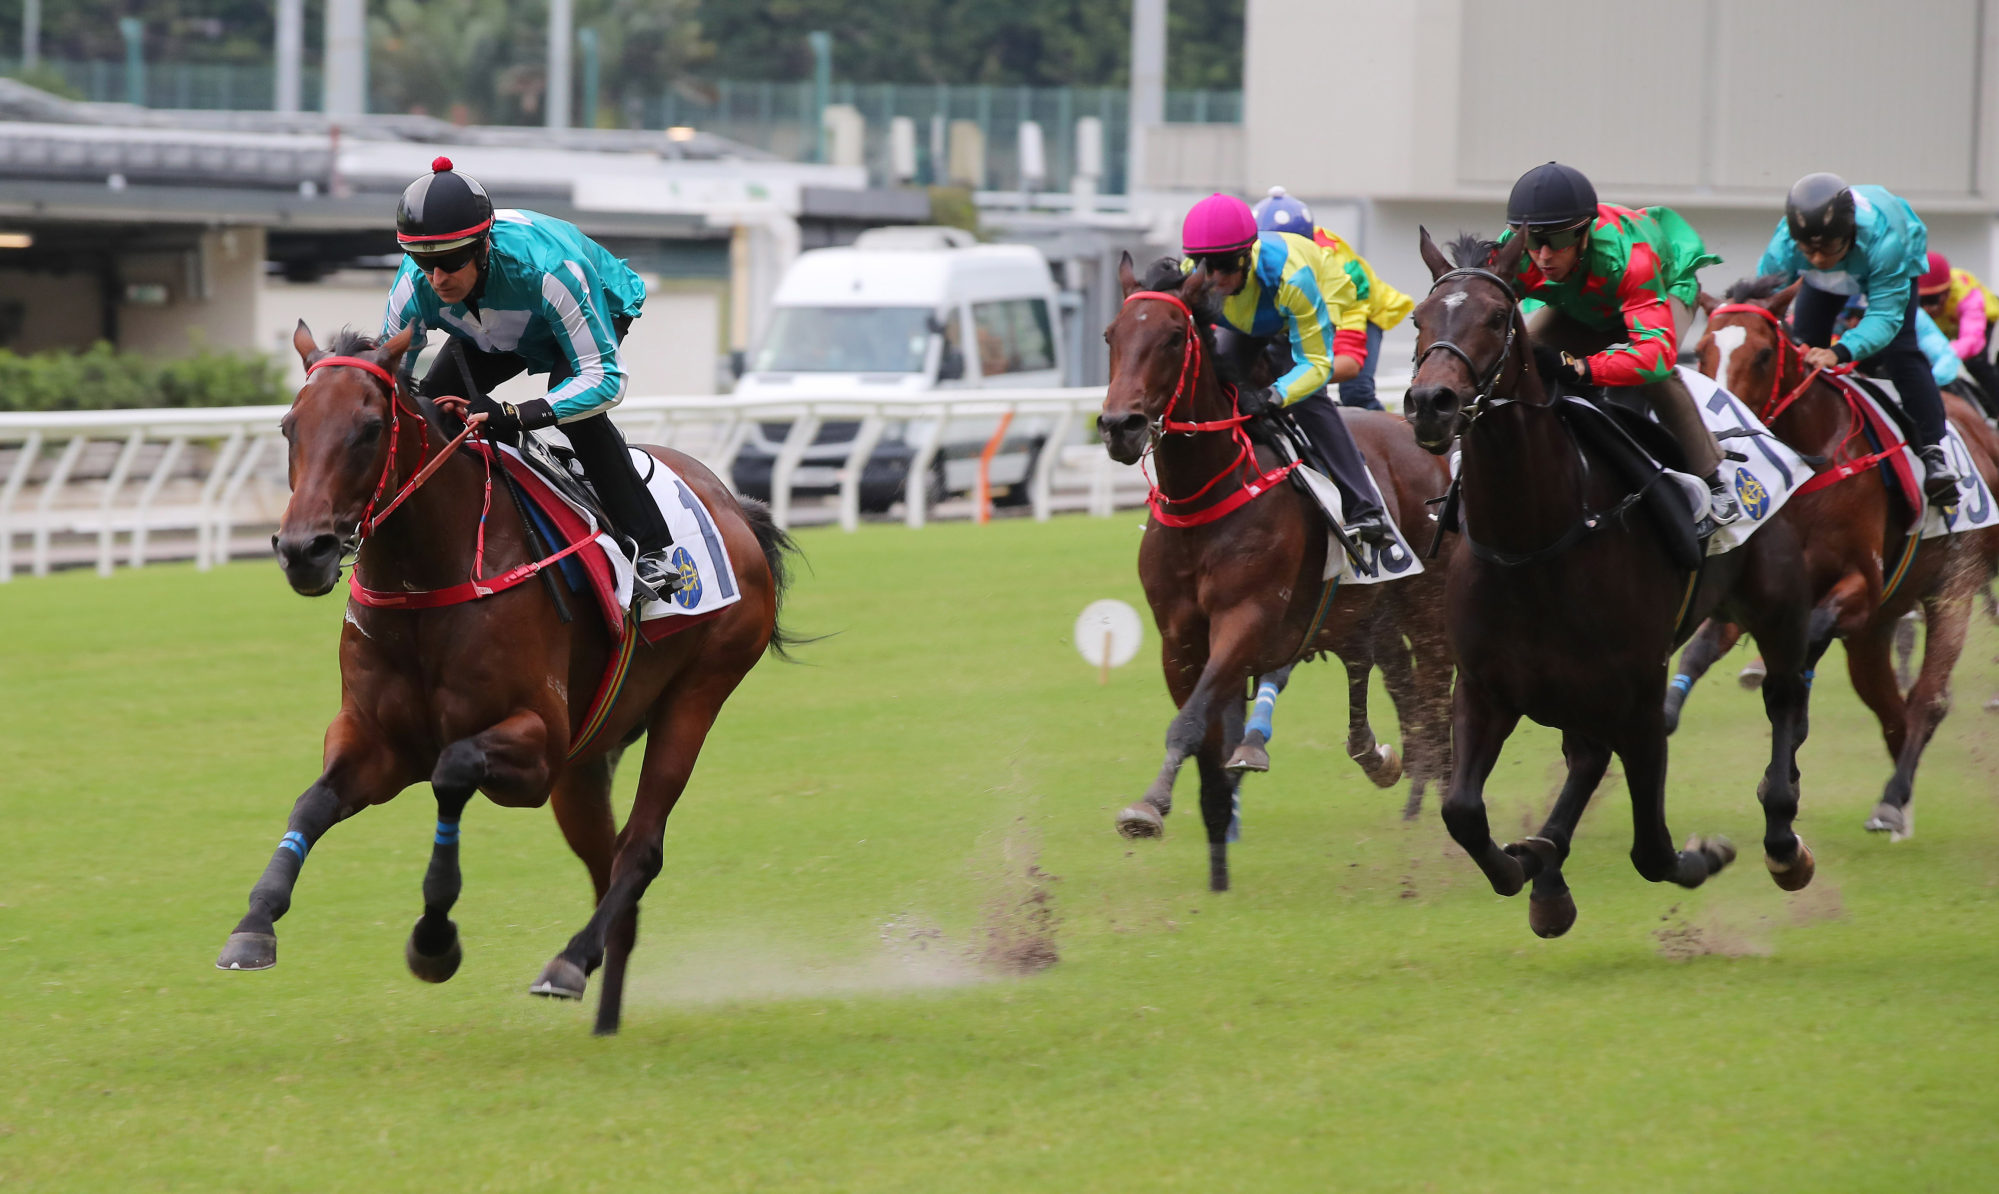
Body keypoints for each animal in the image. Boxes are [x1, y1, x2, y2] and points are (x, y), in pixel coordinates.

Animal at [206, 324, 791, 1032]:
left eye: (370, 428)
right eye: (290, 425)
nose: (303, 551)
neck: (430, 579)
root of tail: (736, 507)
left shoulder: (537, 750)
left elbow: (452, 769)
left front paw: (435, 938)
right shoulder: (378, 741)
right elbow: (313, 802)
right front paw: (253, 925)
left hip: (697, 695)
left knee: (639, 849)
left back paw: (569, 962)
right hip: (586, 763)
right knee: (611, 872)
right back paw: (603, 1013)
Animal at [1095, 251, 1455, 888]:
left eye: (1172, 337)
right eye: (1112, 335)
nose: (1120, 425)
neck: (1205, 494)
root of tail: (1417, 434)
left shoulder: (1248, 618)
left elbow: (1191, 722)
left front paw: (1149, 806)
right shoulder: (1178, 637)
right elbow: (1202, 727)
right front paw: (1214, 823)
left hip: (1426, 605)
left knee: (1436, 692)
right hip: (1364, 611)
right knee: (1385, 677)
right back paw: (1385, 762)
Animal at [1399, 230, 1823, 940]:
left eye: (1497, 318)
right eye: (1418, 319)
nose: (1432, 403)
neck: (1535, 543)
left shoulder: (1641, 694)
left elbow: (1652, 850)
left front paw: (1706, 854)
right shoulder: (1485, 688)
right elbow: (1462, 810)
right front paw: (1526, 865)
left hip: (1777, 607)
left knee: (1785, 699)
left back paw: (1783, 840)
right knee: (1587, 757)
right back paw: (1547, 871)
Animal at [1671, 280, 1999, 840]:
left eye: (1763, 354)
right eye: (1705, 348)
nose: (1712, 436)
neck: (1811, 468)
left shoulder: (1860, 586)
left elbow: (1812, 635)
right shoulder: (1757, 596)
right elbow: (1699, 650)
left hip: (1952, 586)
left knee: (1928, 699)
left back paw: (1891, 799)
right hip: (1876, 630)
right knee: (1890, 706)